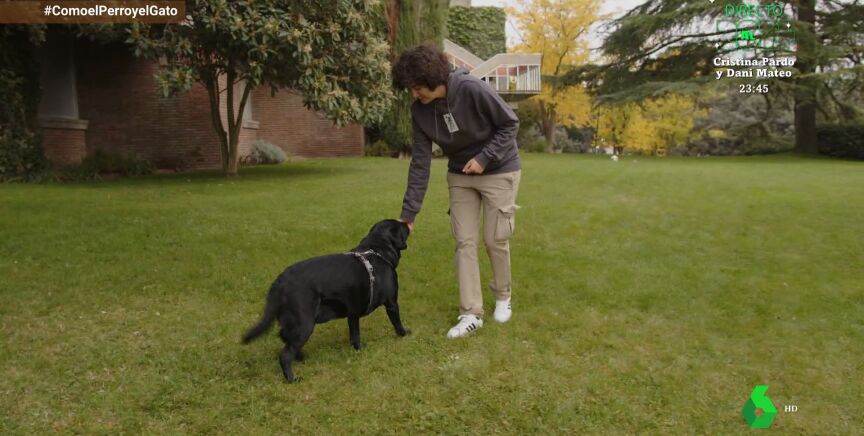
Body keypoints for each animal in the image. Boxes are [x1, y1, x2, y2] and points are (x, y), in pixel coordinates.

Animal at [242, 219, 411, 382]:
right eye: (401, 226)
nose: (407, 223)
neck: (376, 251)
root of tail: (280, 281)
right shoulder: (392, 303)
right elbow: (397, 323)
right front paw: (404, 334)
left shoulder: (353, 313)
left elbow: (355, 334)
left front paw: (358, 349)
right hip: (305, 324)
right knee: (285, 354)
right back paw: (292, 378)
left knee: (284, 336)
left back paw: (301, 357)